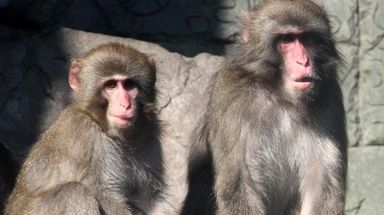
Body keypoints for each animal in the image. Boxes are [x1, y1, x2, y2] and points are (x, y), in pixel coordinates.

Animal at [4, 42, 164, 215]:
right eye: (111, 85)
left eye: (129, 85)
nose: (125, 105)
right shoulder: (83, 133)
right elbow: (104, 194)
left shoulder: (149, 132)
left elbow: (149, 199)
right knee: (75, 192)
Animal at [182, 0, 346, 215]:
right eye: (286, 39)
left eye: (307, 39)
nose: (304, 61)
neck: (282, 96)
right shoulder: (232, 94)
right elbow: (240, 185)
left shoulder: (329, 98)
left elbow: (323, 185)